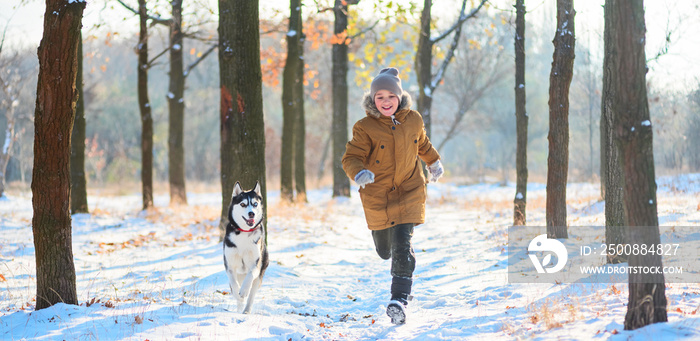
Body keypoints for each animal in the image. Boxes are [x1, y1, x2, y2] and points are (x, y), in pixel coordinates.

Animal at [223, 182, 270, 312]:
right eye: (243, 204)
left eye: (255, 204)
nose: (251, 213)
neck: (244, 232)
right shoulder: (229, 265)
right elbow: (233, 283)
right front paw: (238, 295)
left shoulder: (256, 263)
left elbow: (250, 275)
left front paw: (243, 290)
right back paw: (239, 308)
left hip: (260, 275)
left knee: (252, 295)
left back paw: (246, 310)